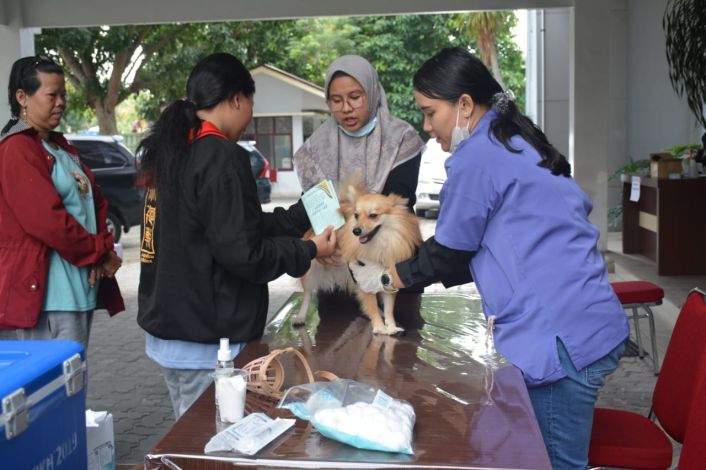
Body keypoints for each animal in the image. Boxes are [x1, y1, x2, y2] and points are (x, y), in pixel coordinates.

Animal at [290, 184, 418, 334]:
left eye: (373, 215)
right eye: (356, 215)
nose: (356, 231)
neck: (378, 245)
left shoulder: (388, 278)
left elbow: (388, 308)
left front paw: (391, 327)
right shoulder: (363, 279)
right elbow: (371, 305)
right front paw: (380, 328)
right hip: (310, 273)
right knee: (307, 294)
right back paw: (300, 317)